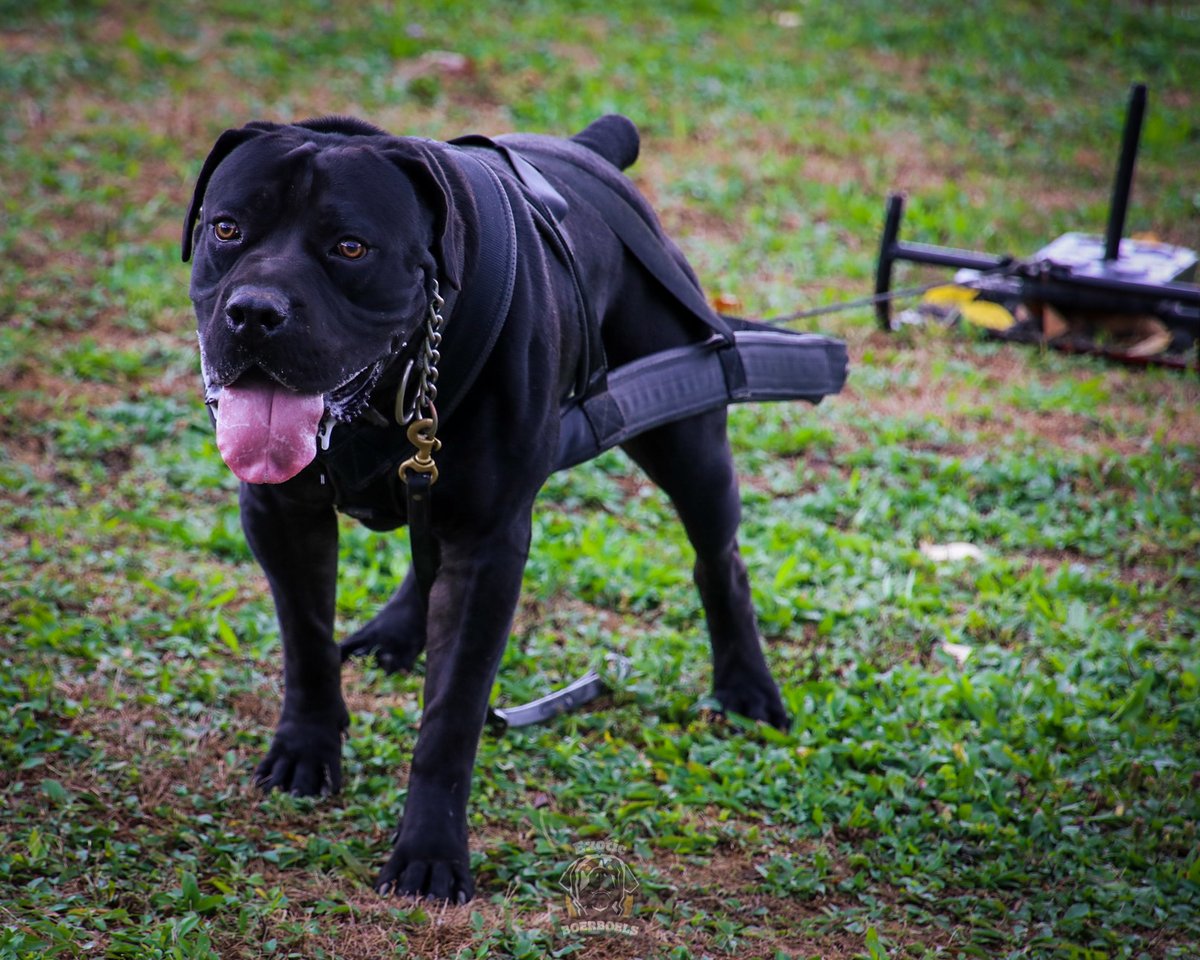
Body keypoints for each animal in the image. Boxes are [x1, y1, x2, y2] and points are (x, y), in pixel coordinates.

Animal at [182, 116, 811, 902]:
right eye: (227, 229)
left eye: (350, 248)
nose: (255, 312)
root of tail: (591, 149)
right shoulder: (282, 513)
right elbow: (306, 643)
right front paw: (306, 749)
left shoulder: (489, 544)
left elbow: (451, 713)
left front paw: (429, 852)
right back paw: (396, 631)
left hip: (685, 433)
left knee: (718, 559)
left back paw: (747, 687)